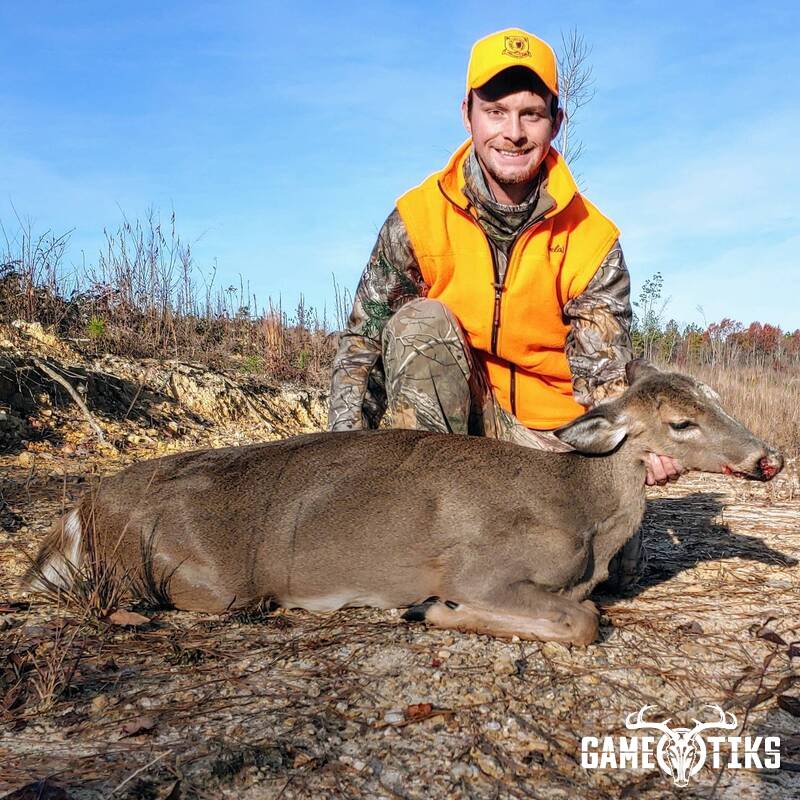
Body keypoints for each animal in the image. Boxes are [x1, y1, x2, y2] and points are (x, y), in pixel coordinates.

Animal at [23, 361, 783, 645]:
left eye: (714, 400)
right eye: (680, 423)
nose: (768, 457)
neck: (583, 510)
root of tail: (83, 507)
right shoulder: (483, 565)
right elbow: (583, 620)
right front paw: (433, 609)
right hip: (201, 578)